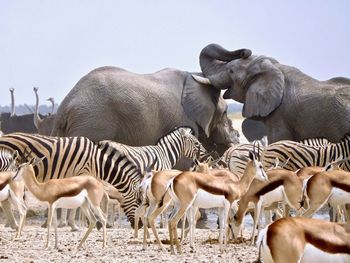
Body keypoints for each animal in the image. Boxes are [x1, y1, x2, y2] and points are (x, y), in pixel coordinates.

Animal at [50, 48, 250, 155]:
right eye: (224, 113)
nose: (246, 53)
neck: (195, 77)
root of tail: (65, 107)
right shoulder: (182, 122)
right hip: (92, 124)